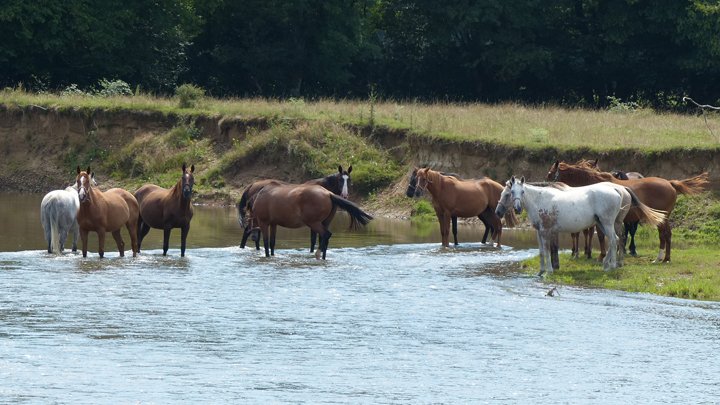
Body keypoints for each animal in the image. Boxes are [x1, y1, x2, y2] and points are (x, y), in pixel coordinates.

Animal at [495, 176, 666, 276]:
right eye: (509, 193)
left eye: (521, 192)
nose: (499, 211)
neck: (539, 200)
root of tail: (618, 190)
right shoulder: (539, 232)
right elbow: (542, 251)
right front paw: (541, 271)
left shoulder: (546, 231)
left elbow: (548, 251)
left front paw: (548, 271)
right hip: (603, 224)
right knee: (617, 240)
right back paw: (608, 264)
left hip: (607, 223)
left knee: (614, 240)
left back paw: (610, 266)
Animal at [547, 160, 708, 262]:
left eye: (550, 173)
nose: (547, 185)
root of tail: (669, 183)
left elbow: (601, 237)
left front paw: (601, 256)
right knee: (666, 235)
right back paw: (664, 258)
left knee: (664, 235)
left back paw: (660, 258)